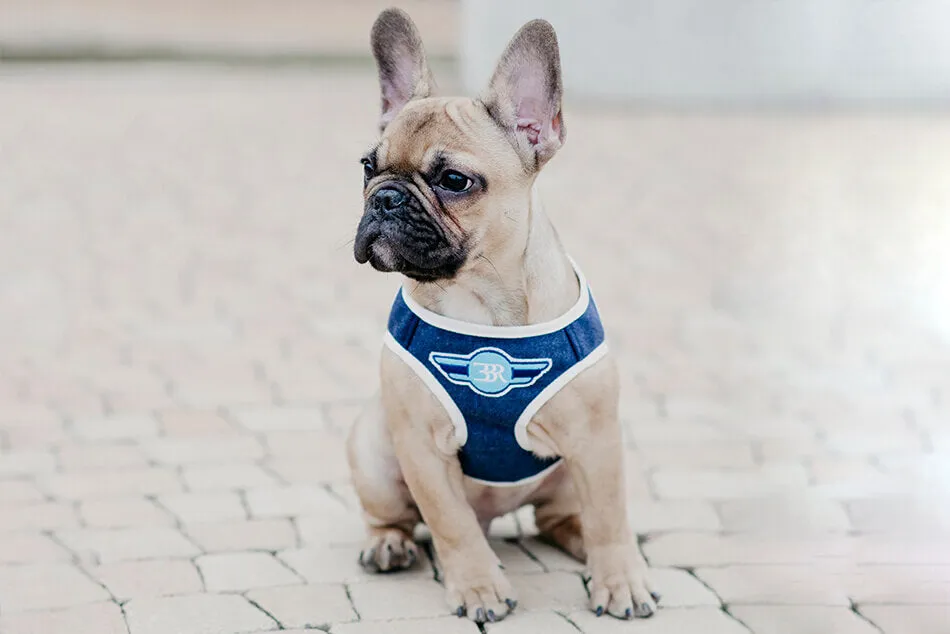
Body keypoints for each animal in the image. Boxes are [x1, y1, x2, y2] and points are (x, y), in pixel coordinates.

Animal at [346, 7, 660, 624]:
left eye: (454, 181)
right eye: (367, 166)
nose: (385, 198)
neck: (480, 302)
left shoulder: (597, 440)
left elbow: (610, 515)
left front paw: (621, 580)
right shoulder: (420, 446)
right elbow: (451, 525)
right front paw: (478, 588)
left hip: (567, 471)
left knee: (565, 519)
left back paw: (593, 548)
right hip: (373, 449)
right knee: (403, 517)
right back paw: (389, 544)